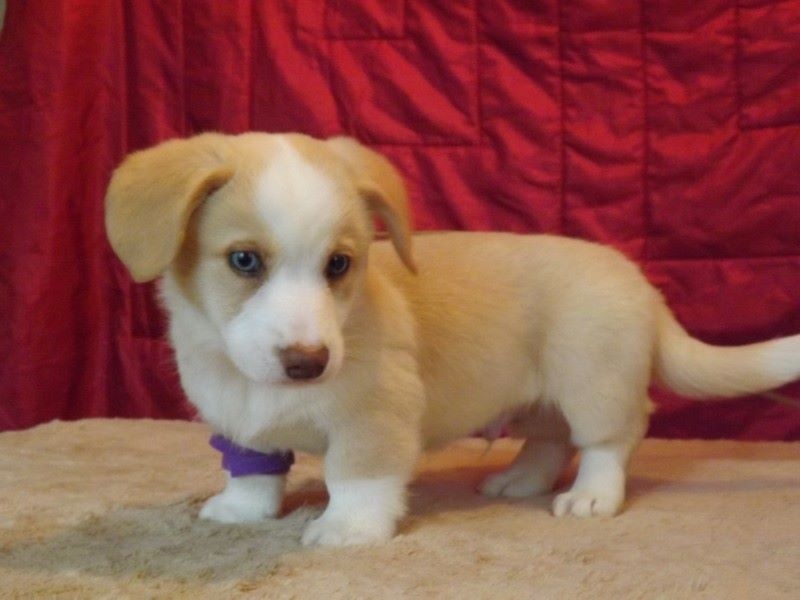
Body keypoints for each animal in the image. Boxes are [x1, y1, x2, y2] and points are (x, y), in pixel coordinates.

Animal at [105, 132, 800, 546]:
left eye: (339, 264)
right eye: (244, 260)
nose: (309, 364)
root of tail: (643, 285)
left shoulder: (374, 417)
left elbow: (357, 475)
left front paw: (346, 530)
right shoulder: (239, 425)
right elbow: (252, 473)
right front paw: (241, 512)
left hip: (593, 384)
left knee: (607, 442)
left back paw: (590, 497)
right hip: (538, 397)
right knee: (548, 440)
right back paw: (518, 483)